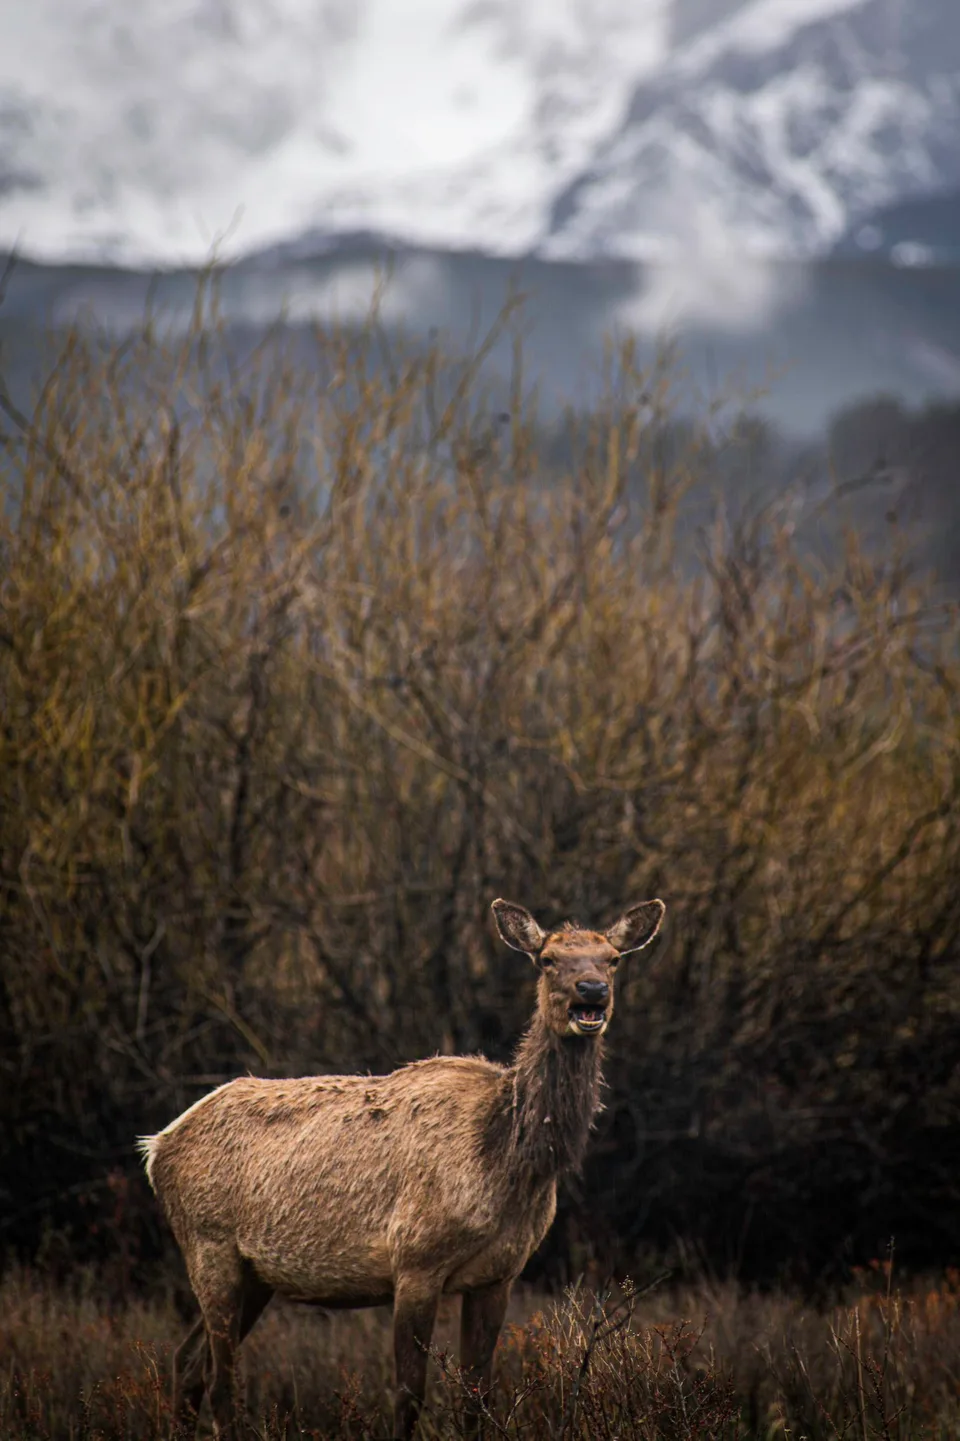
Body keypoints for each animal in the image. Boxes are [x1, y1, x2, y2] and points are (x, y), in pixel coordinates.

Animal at [138, 895, 665, 1440]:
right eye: (548, 959)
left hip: (255, 1274)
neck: (505, 1165)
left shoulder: (499, 1276)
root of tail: (158, 1148)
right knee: (220, 1381)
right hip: (209, 1244)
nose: (592, 991)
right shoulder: (415, 1260)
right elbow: (408, 1395)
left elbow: (476, 1397)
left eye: (613, 959)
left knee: (187, 1362)